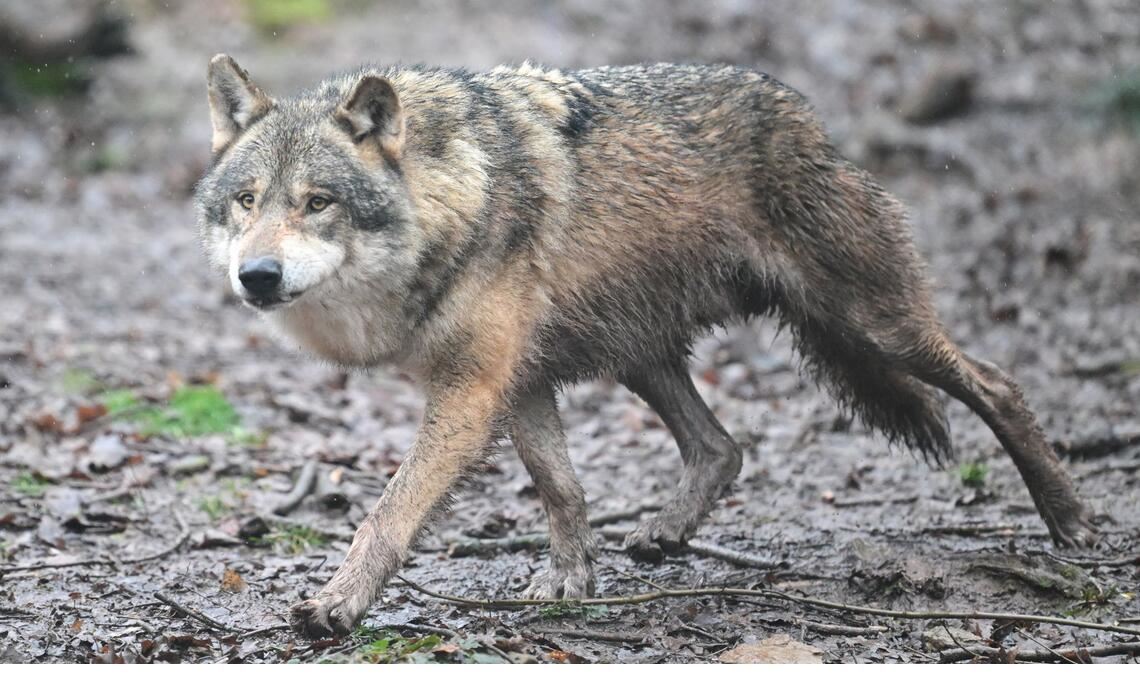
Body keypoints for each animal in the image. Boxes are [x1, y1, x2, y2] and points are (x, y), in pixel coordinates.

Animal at [194, 54, 1098, 638]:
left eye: (317, 202)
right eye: (247, 201)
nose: (257, 276)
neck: (452, 197)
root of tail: (809, 118)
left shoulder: (472, 390)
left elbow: (387, 514)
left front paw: (337, 605)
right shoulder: (518, 383)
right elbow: (561, 488)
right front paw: (570, 581)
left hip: (873, 325)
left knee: (998, 383)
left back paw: (1070, 522)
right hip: (640, 354)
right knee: (723, 447)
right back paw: (664, 533)